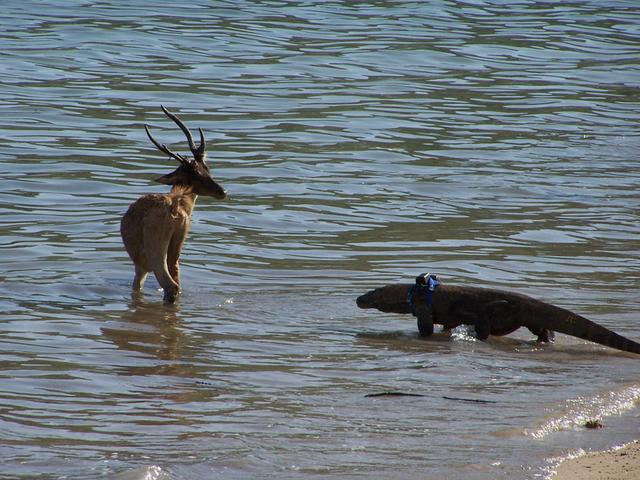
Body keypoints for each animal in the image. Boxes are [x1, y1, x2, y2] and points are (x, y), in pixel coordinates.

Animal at [120, 106, 228, 304]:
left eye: (207, 169)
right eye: (201, 172)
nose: (223, 191)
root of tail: (174, 209)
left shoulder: (140, 265)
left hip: (154, 247)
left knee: (171, 285)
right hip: (177, 244)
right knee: (176, 281)